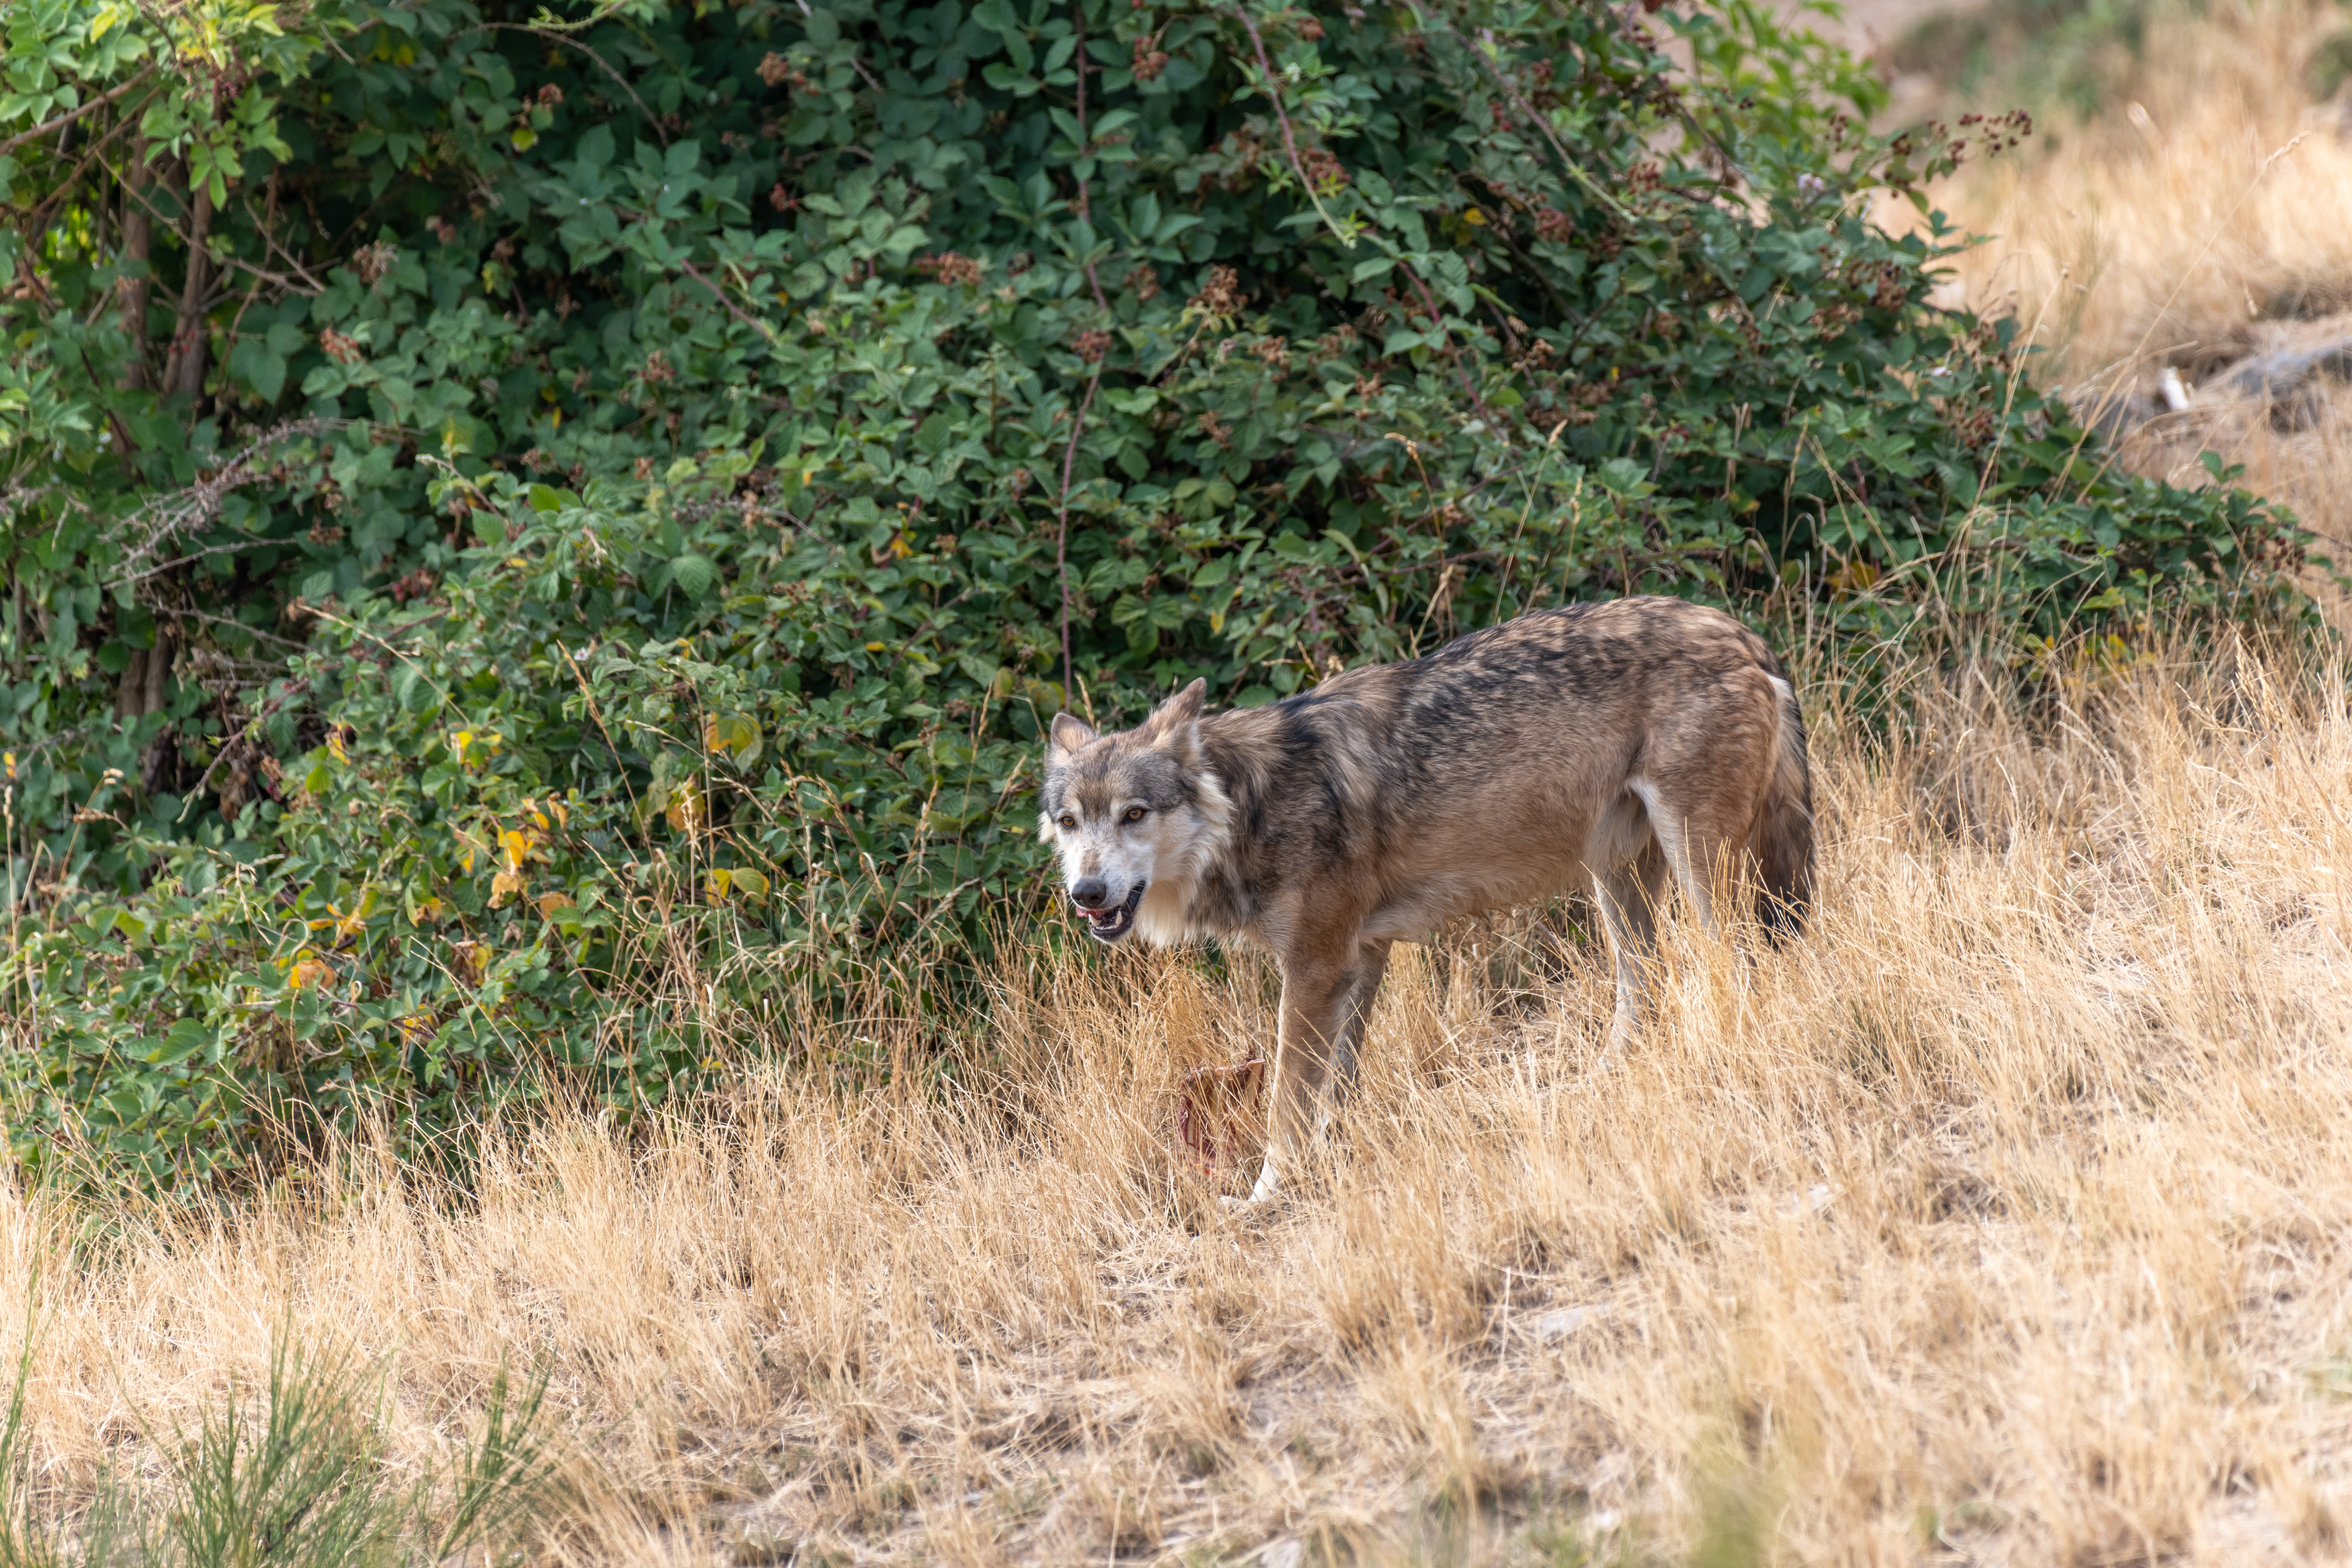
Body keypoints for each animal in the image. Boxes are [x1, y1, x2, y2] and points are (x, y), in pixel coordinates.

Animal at [1037, 596, 1814, 1210]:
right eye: (1071, 823)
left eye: (1135, 814)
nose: (1086, 894)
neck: (1251, 807)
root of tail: (1739, 632)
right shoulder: (1360, 957)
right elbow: (1335, 1091)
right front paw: (1329, 1164)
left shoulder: (1314, 967)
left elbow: (1287, 1101)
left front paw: (1267, 1196)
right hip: (1616, 882)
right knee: (1643, 991)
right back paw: (1594, 1088)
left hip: (1701, 872)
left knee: (1736, 966)